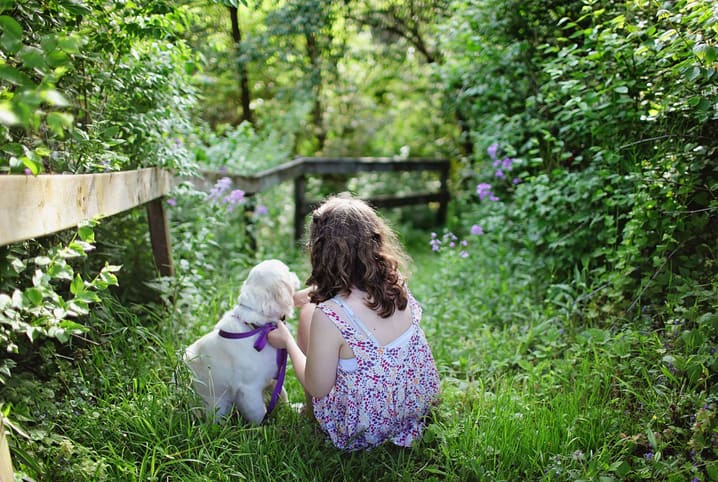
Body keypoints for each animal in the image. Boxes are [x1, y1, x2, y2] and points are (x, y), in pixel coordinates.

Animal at [186, 260, 300, 422]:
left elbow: (282, 394)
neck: (257, 327)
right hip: (217, 405)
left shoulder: (274, 377)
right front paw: (262, 426)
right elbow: (259, 412)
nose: (295, 274)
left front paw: (292, 409)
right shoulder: (249, 389)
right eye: (287, 271)